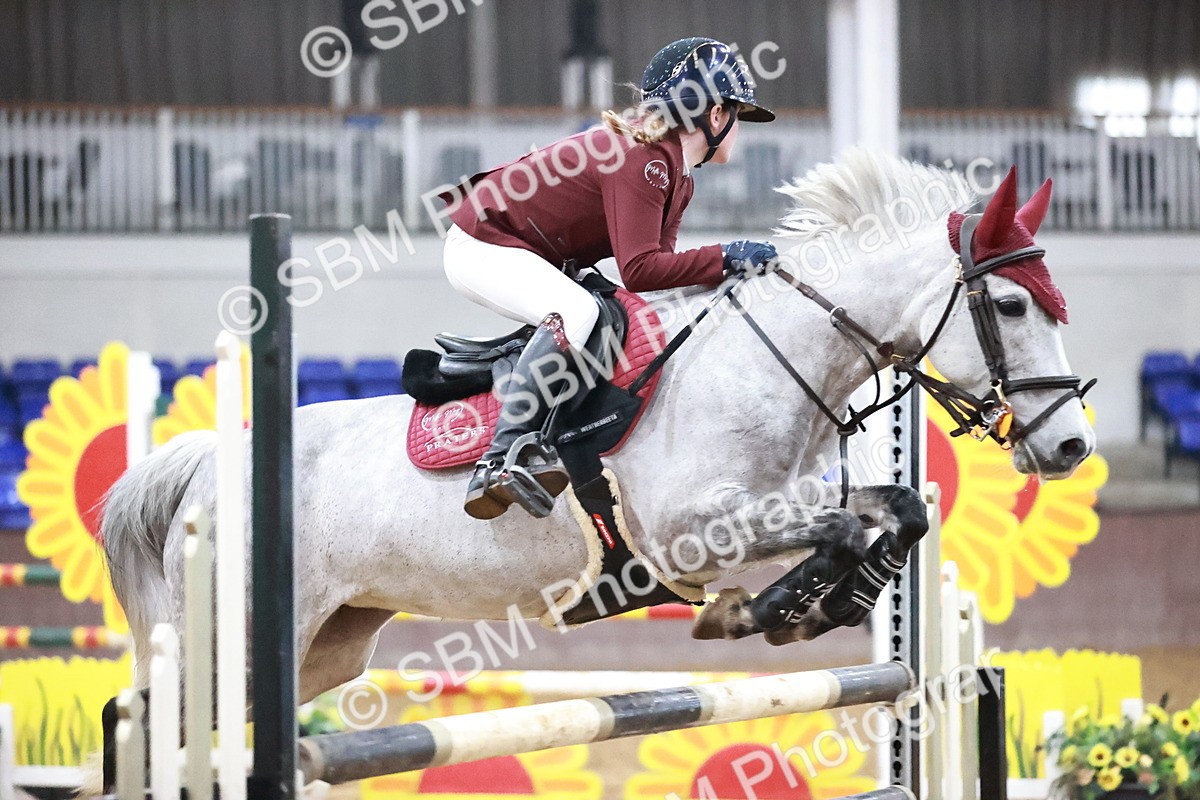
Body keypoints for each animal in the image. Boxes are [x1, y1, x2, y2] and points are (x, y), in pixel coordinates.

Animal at [100, 149, 1095, 712]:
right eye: (1011, 304)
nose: (1071, 446)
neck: (768, 355)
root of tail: (207, 463)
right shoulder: (694, 531)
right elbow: (850, 524)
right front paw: (762, 612)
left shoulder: (781, 502)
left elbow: (896, 514)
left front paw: (818, 608)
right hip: (234, 637)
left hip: (329, 644)